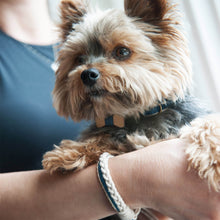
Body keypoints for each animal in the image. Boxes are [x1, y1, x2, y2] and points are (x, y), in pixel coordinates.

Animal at [42, 0, 220, 218]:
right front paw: (69, 152)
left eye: (122, 52)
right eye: (79, 59)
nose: (87, 74)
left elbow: (206, 126)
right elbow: (106, 138)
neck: (137, 116)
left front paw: (214, 158)